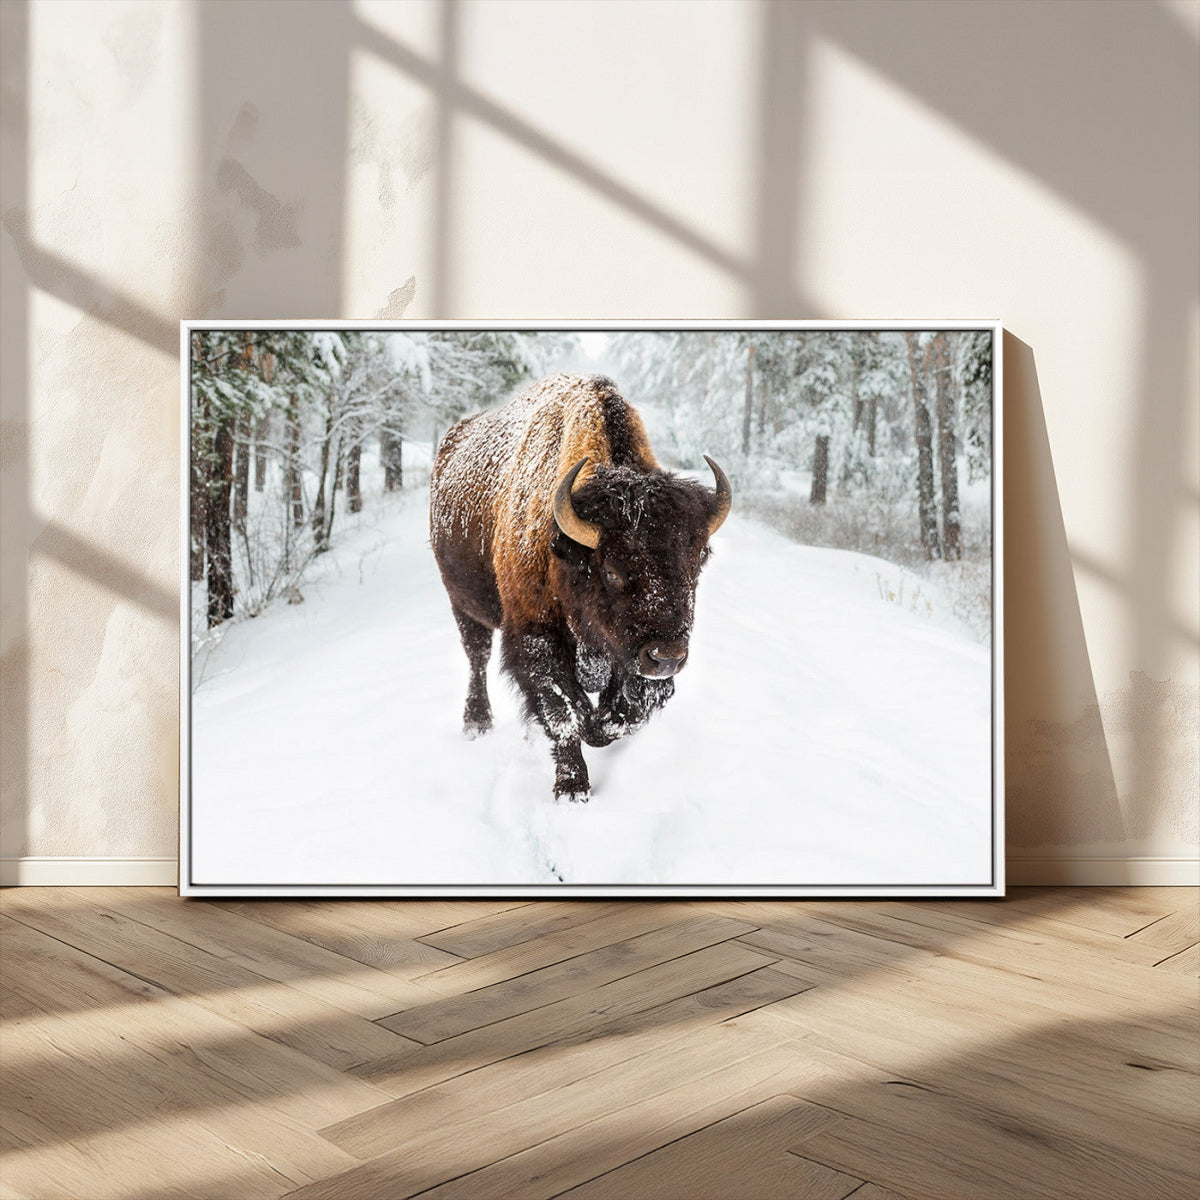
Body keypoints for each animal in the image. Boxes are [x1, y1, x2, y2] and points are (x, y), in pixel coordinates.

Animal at [430, 373, 731, 801]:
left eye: (698, 560)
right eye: (612, 571)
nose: (667, 657)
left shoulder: (627, 656)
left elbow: (624, 714)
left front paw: (599, 726)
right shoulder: (535, 636)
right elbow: (564, 712)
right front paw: (572, 788)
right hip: (462, 603)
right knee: (477, 655)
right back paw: (477, 723)